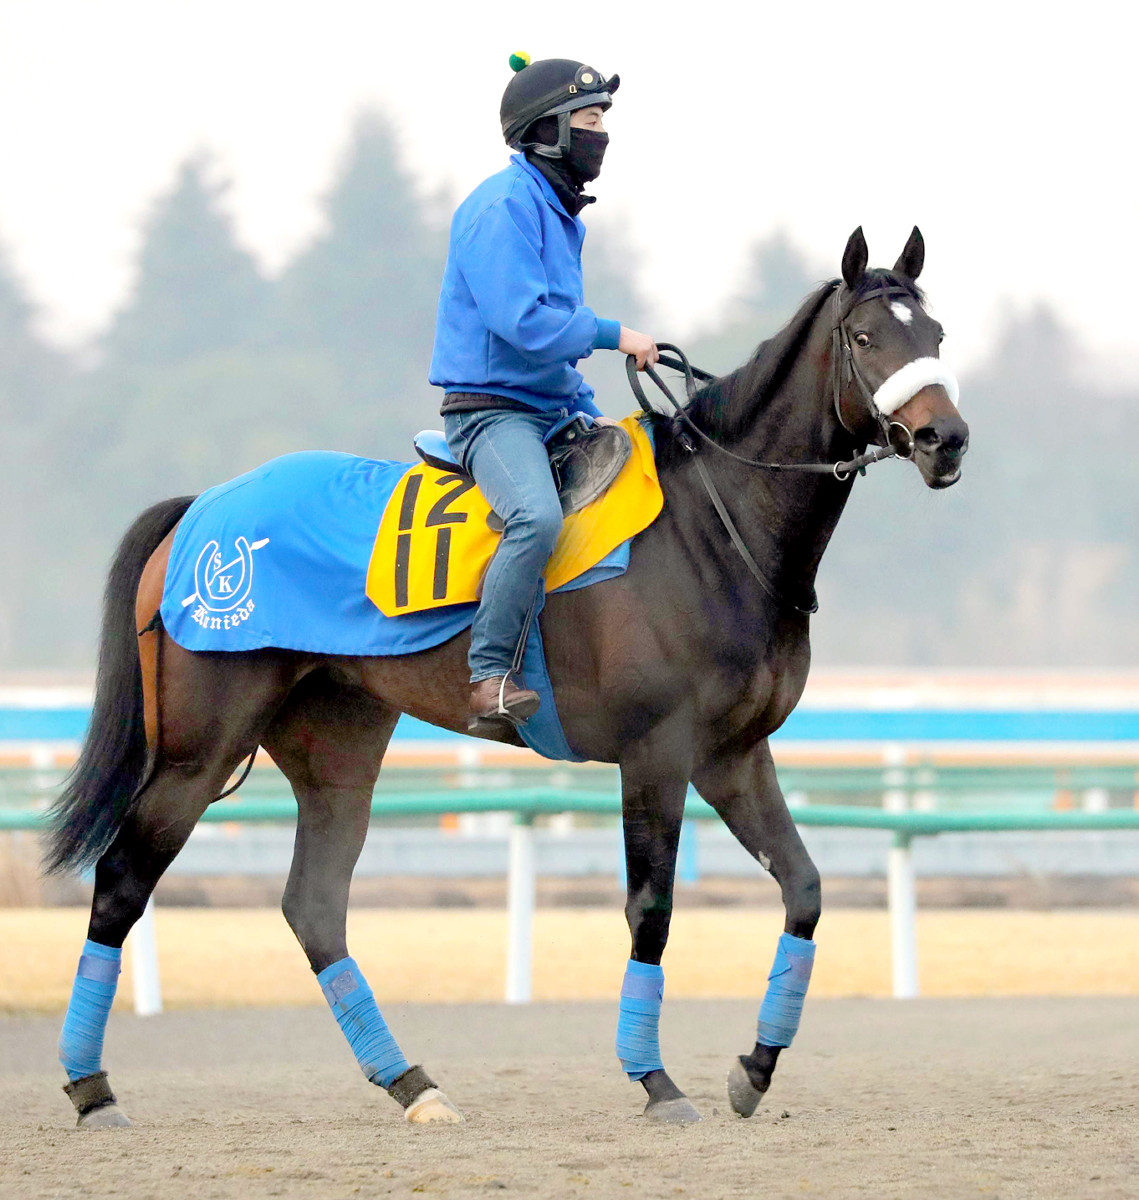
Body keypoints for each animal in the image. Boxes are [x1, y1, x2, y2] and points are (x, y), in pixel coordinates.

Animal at [46, 229, 969, 1128]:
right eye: (864, 337)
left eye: (934, 334)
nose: (945, 439)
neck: (715, 526)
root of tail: (201, 508)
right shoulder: (658, 753)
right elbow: (651, 908)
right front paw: (655, 1081)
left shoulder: (734, 755)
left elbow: (804, 888)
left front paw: (753, 1069)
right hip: (197, 751)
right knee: (122, 883)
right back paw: (92, 1089)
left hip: (337, 750)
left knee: (314, 906)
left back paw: (412, 1084)